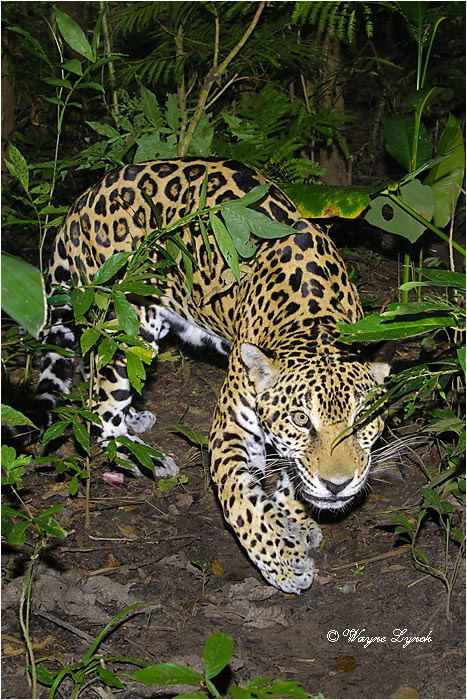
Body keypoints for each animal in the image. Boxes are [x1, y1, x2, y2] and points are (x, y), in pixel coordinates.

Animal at [21, 157, 391, 594]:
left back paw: (137, 418)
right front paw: (284, 562)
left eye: (361, 420)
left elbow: (291, 477)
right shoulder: (231, 430)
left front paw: (296, 521)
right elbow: (243, 500)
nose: (338, 484)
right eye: (302, 419)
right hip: (125, 322)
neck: (314, 323)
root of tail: (83, 200)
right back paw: (146, 456)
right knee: (100, 402)